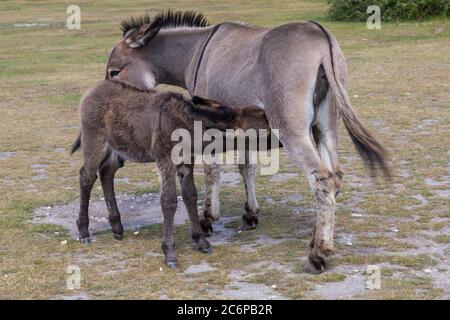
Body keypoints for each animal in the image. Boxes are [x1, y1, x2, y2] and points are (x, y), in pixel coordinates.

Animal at [72, 80, 272, 268]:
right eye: (265, 124)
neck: (187, 125)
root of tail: (95, 87)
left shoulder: (186, 162)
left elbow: (190, 195)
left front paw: (201, 241)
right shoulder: (165, 160)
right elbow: (168, 201)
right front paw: (169, 253)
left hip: (118, 146)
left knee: (106, 172)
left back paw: (117, 227)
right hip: (94, 140)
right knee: (87, 177)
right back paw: (84, 231)